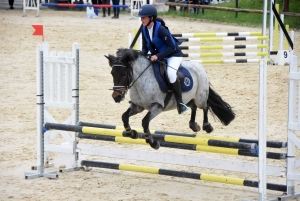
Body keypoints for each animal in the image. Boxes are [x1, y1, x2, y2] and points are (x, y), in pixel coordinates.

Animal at [104, 48, 236, 149]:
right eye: (112, 74)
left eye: (124, 74)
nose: (116, 97)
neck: (142, 81)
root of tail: (199, 66)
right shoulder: (138, 106)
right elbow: (124, 116)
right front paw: (132, 133)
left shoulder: (157, 106)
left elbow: (145, 121)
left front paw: (153, 142)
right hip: (189, 98)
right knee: (192, 107)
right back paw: (193, 125)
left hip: (200, 97)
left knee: (205, 106)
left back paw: (207, 126)